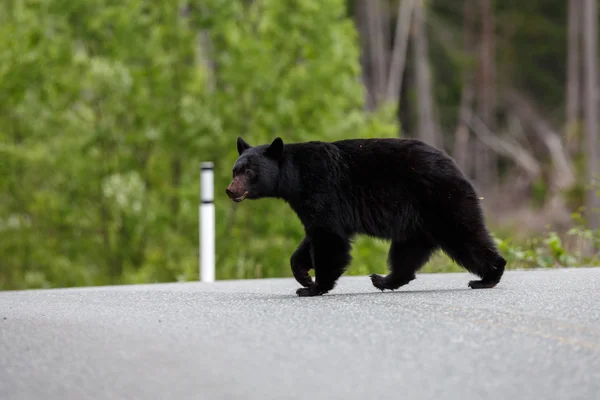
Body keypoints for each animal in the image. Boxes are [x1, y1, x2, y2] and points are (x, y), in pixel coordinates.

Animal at [225, 138, 506, 296]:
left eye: (248, 171)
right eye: (235, 170)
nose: (230, 190)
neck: (294, 178)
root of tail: (456, 166)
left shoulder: (322, 190)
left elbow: (329, 238)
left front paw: (312, 287)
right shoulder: (311, 203)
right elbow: (313, 236)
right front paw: (303, 274)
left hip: (441, 201)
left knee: (465, 236)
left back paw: (488, 277)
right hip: (416, 221)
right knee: (407, 252)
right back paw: (383, 280)